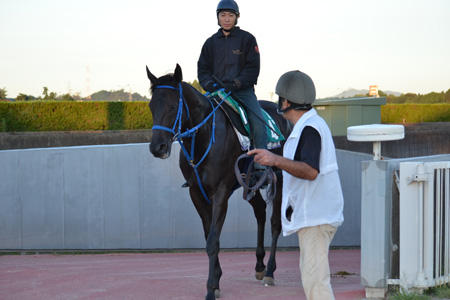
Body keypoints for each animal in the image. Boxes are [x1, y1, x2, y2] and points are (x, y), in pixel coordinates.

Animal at [145, 64, 292, 298]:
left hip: (280, 179)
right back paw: (259, 265)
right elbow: (208, 236)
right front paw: (216, 280)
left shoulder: (220, 192)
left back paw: (269, 271)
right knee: (260, 211)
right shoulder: (196, 193)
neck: (204, 138)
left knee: (275, 223)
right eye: (151, 105)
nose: (157, 147)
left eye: (174, 105)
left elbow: (213, 240)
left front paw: (211, 287)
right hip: (249, 183)